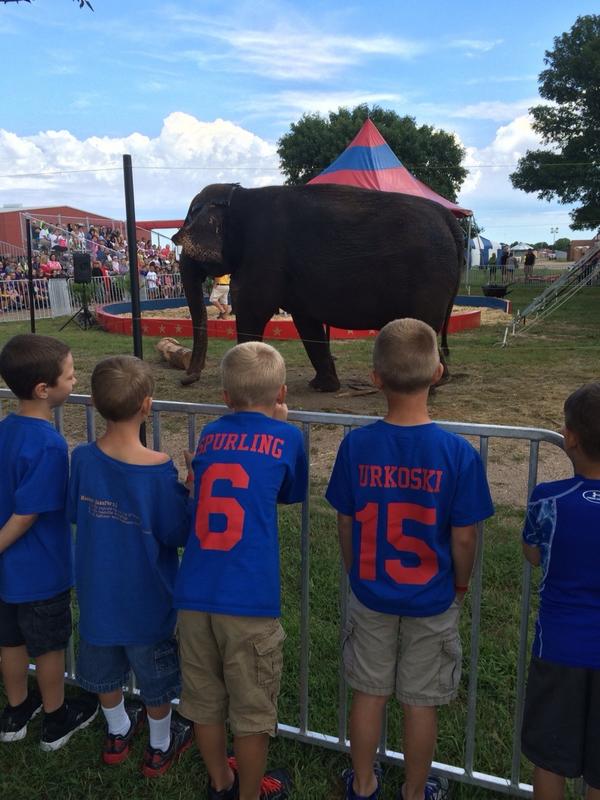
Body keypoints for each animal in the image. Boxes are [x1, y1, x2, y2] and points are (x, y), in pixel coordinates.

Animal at [172, 184, 464, 390]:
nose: (186, 379)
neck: (238, 194)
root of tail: (449, 218)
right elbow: (306, 321)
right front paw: (324, 387)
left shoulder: (264, 253)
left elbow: (251, 307)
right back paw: (441, 380)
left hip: (429, 275)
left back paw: (429, 386)